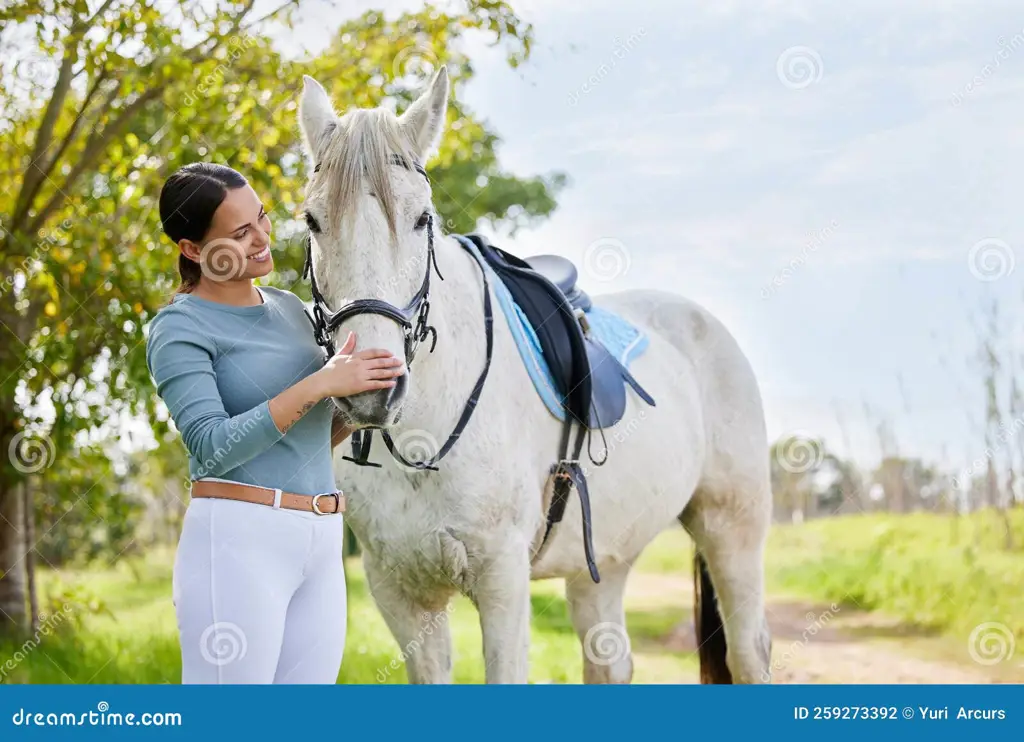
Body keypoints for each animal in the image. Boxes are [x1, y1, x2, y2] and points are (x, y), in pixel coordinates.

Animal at [299, 65, 770, 683]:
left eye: (422, 219)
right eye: (313, 221)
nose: (370, 386)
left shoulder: (502, 579)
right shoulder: (400, 593)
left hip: (731, 529)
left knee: (748, 652)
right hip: (605, 562)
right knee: (610, 661)